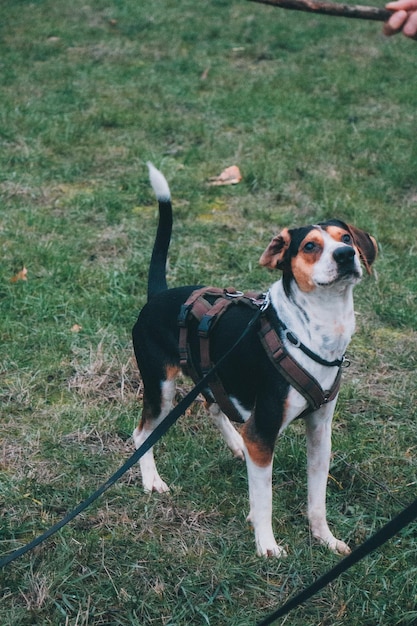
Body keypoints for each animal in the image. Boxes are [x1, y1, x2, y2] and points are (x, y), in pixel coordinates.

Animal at [133, 162, 376, 556]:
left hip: (212, 375)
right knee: (142, 433)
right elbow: (264, 499)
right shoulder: (263, 433)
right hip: (161, 387)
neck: (309, 332)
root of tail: (158, 296)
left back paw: (236, 445)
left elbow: (317, 499)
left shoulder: (320, 431)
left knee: (213, 406)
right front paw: (267, 546)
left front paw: (325, 538)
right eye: (310, 246)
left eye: (346, 238)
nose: (345, 255)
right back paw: (152, 480)